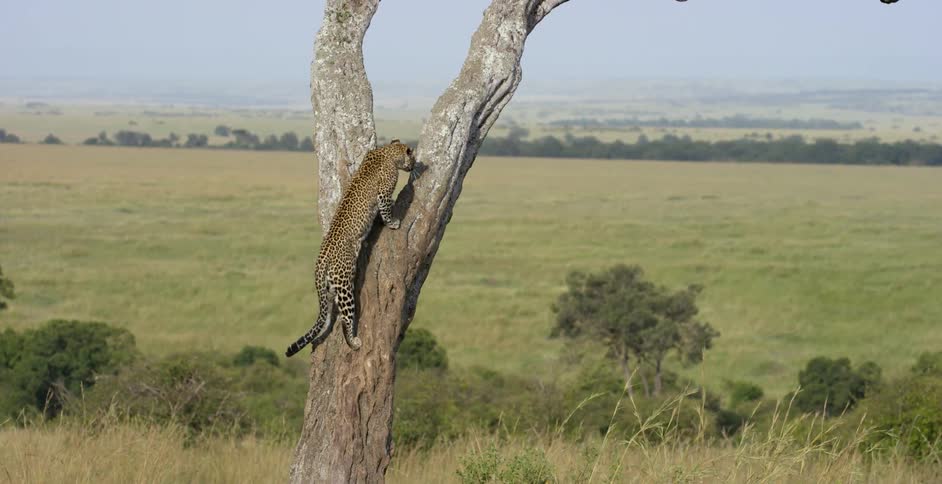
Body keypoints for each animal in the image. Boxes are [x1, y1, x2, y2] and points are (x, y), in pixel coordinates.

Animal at [285, 139, 416, 357]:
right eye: (412, 157)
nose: (414, 166)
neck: (388, 152)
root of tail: (321, 258)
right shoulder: (383, 193)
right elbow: (386, 210)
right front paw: (393, 223)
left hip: (329, 287)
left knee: (328, 314)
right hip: (344, 282)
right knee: (346, 317)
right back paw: (353, 342)